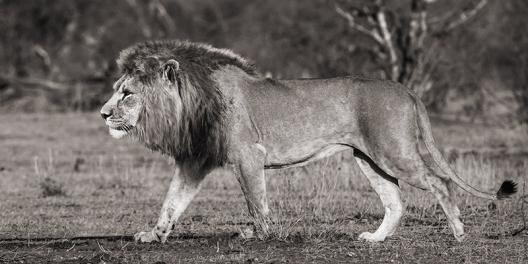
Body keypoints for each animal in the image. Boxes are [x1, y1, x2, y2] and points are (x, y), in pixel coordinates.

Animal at [99, 40, 516, 243]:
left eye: (127, 93)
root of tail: (405, 88)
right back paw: (375, 240)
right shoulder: (195, 161)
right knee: (395, 202)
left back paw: (458, 232)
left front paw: (259, 235)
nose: (103, 114)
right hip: (370, 159)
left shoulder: (248, 156)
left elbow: (256, 202)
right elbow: (171, 203)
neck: (192, 105)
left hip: (393, 151)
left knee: (440, 182)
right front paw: (154, 235)